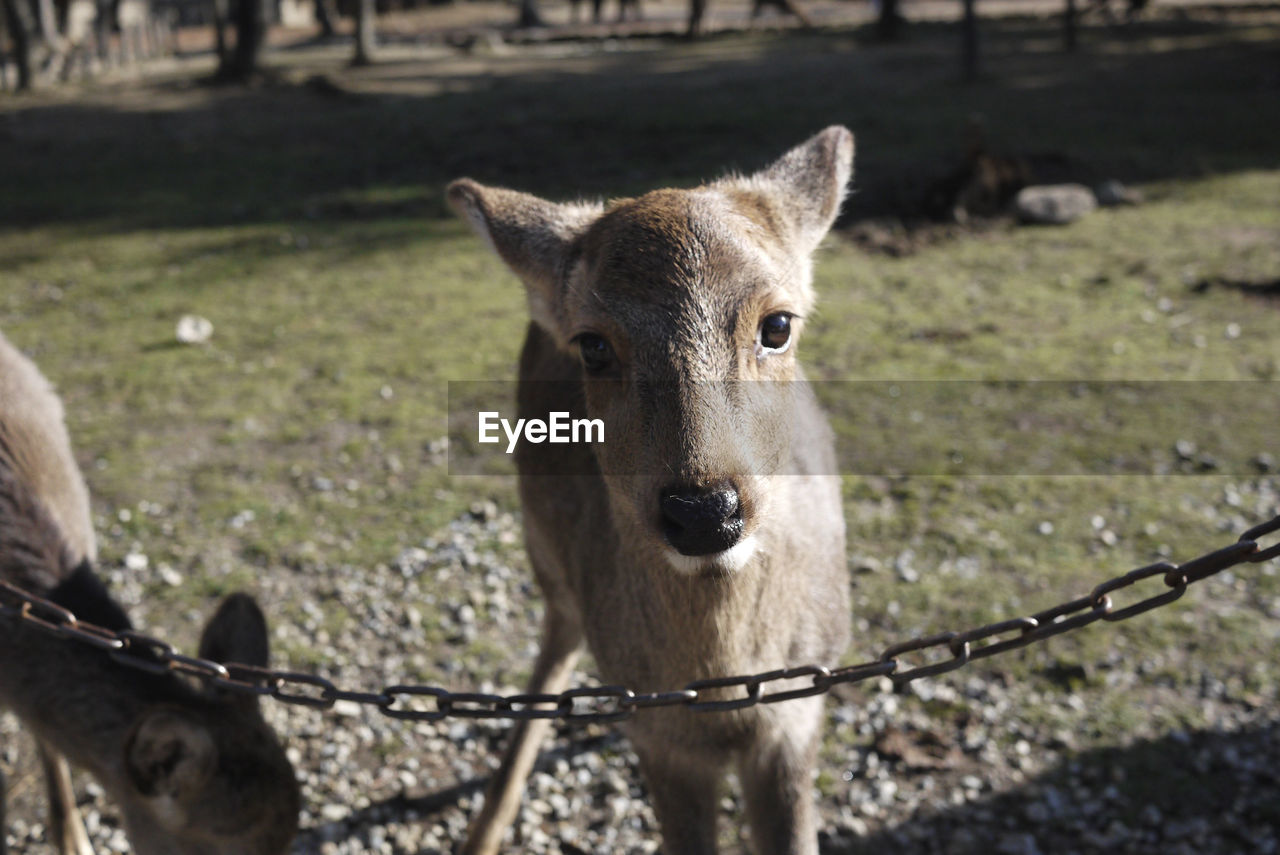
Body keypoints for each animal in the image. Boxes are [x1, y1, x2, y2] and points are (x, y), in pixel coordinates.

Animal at [446, 126, 855, 855]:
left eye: (778, 324)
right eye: (592, 345)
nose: (704, 512)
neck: (724, 697)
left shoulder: (801, 707)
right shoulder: (658, 733)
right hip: (544, 544)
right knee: (558, 634)